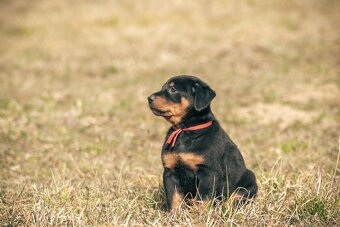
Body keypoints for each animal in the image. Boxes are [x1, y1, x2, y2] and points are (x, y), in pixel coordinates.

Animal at [147, 75, 256, 210]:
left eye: (173, 89)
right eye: (162, 87)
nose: (149, 98)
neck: (185, 130)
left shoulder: (208, 173)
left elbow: (202, 199)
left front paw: (198, 213)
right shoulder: (170, 172)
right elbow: (174, 198)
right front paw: (174, 214)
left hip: (249, 178)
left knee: (237, 197)